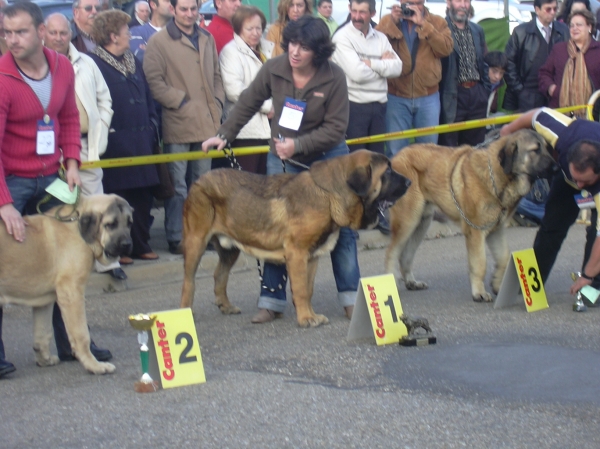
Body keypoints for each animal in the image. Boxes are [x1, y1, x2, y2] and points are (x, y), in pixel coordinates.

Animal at [0, 194, 132, 372]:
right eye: (110, 224)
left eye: (129, 223)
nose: (127, 245)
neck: (77, 225)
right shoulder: (72, 292)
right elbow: (81, 333)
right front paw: (94, 365)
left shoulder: (45, 299)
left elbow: (43, 333)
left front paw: (44, 359)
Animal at [180, 150, 410, 326]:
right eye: (387, 171)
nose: (408, 181)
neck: (328, 194)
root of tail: (198, 181)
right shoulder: (297, 253)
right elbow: (299, 289)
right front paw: (306, 319)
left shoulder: (312, 256)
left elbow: (308, 289)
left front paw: (311, 315)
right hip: (196, 242)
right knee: (189, 282)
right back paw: (184, 313)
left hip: (230, 249)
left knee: (219, 274)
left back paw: (226, 306)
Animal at [386, 129, 556, 300]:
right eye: (535, 150)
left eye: (547, 148)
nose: (556, 166)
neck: (496, 176)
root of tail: (396, 157)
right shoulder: (475, 232)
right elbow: (480, 263)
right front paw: (479, 293)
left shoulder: (496, 231)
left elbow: (504, 257)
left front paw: (496, 283)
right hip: (408, 220)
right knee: (392, 253)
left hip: (422, 222)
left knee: (405, 256)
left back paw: (412, 282)